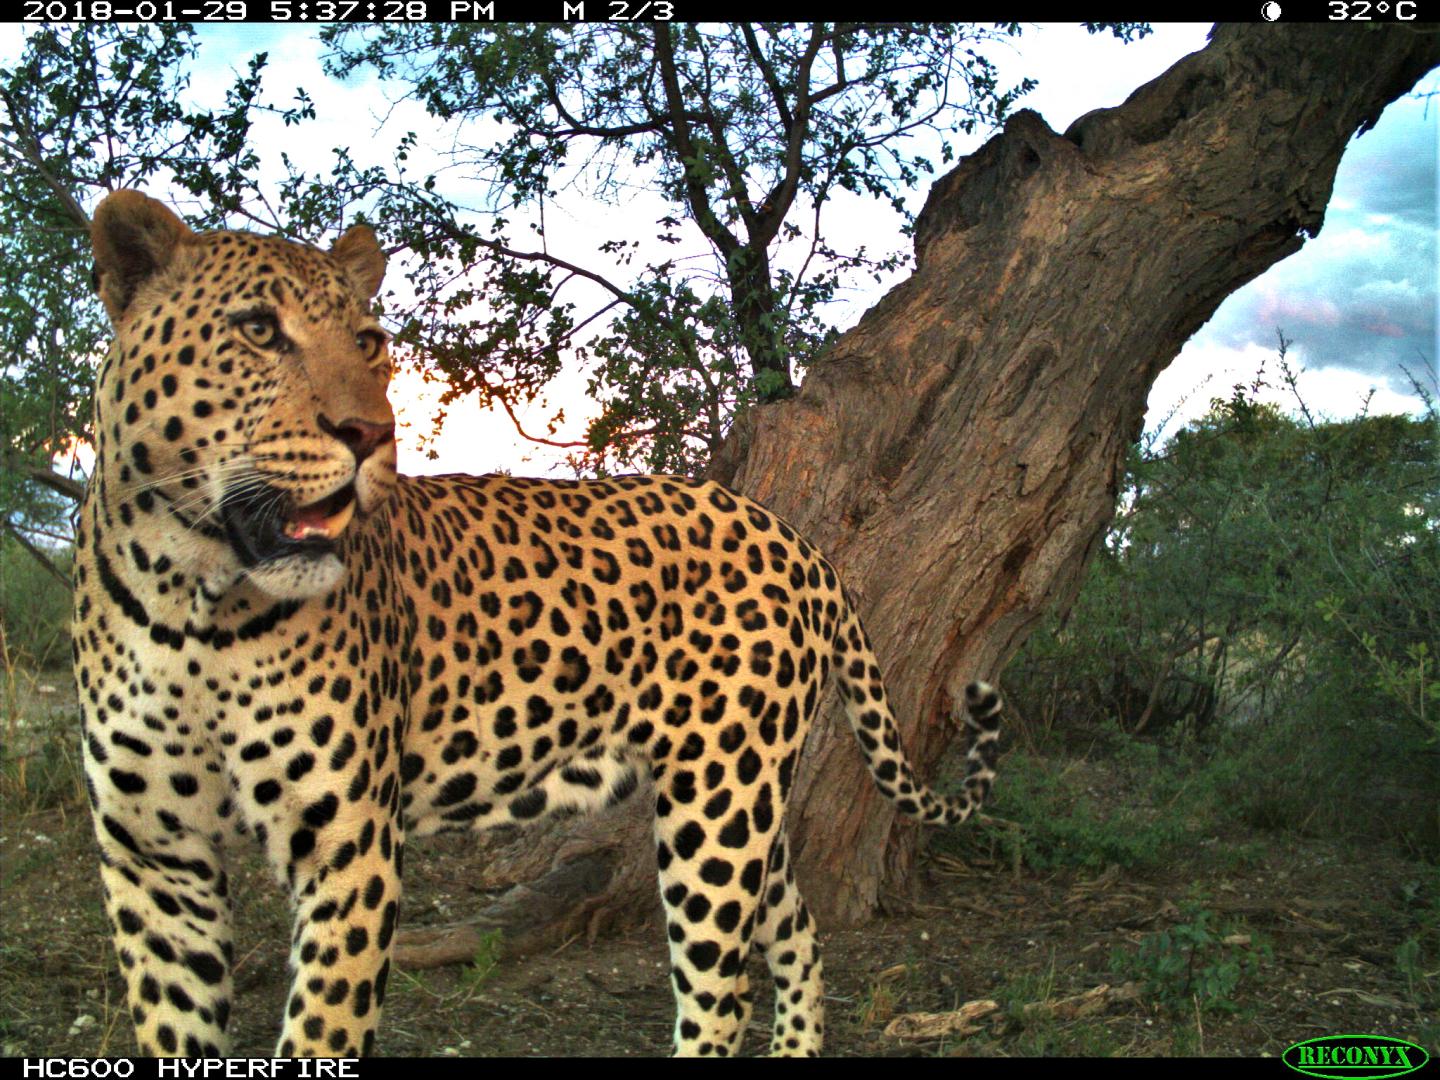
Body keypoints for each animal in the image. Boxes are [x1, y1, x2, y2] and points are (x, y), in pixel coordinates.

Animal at [72, 189, 1003, 1058]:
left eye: (370, 343)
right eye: (259, 330)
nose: (370, 433)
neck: (194, 602)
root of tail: (798, 539)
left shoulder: (347, 851)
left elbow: (322, 1033)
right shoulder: (153, 858)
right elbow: (177, 1025)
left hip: (720, 805)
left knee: (721, 996)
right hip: (740, 798)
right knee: (798, 939)